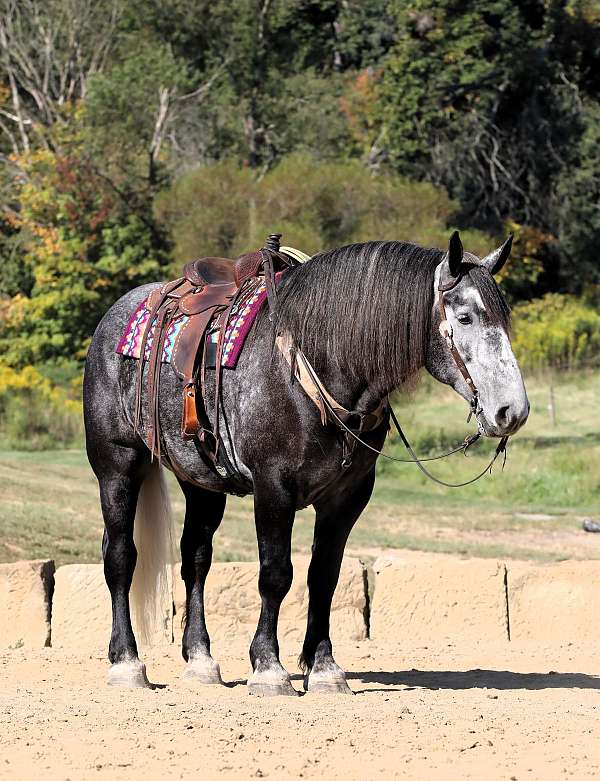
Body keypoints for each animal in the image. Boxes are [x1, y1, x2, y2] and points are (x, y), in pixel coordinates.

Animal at [83, 230, 528, 696]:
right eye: (465, 317)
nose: (511, 411)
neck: (314, 366)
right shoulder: (273, 488)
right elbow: (276, 573)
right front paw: (269, 667)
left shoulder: (347, 498)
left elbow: (325, 576)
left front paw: (325, 668)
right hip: (117, 466)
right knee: (120, 555)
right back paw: (126, 663)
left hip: (202, 483)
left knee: (196, 559)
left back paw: (201, 661)